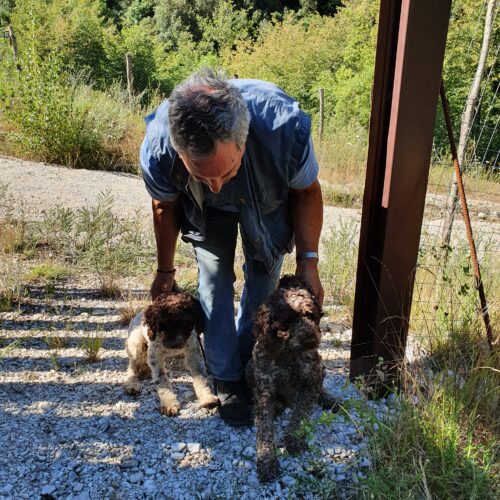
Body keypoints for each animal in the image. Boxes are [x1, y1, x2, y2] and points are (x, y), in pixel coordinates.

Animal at [122, 288, 217, 416]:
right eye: (161, 325)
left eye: (185, 323)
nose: (173, 345)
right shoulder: (155, 356)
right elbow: (161, 380)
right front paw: (169, 403)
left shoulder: (193, 350)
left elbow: (200, 376)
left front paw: (207, 397)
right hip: (136, 345)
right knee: (132, 367)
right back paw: (132, 383)